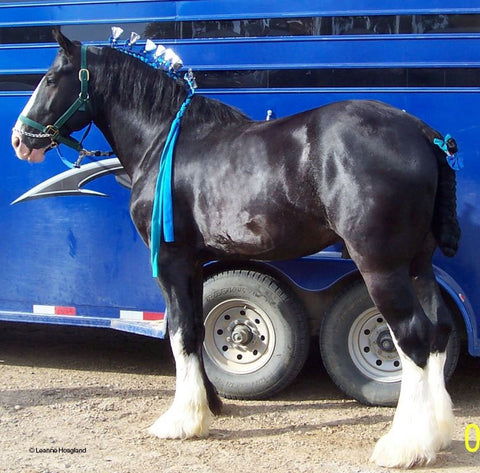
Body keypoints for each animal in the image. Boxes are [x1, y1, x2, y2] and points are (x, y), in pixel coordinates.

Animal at [11, 31, 462, 466]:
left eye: (50, 78)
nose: (20, 138)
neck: (164, 140)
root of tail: (421, 134)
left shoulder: (172, 262)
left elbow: (179, 333)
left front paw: (181, 420)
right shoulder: (193, 263)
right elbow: (194, 329)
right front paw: (208, 405)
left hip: (381, 267)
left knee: (412, 336)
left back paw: (403, 446)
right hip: (418, 264)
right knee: (439, 330)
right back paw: (436, 433)